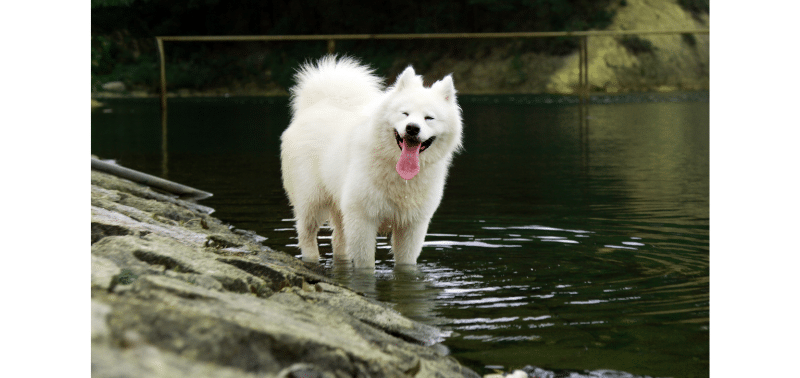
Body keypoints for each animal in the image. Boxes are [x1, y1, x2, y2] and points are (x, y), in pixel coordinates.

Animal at [280, 56, 462, 268]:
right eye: (405, 113)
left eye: (429, 118)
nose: (412, 128)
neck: (398, 174)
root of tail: (318, 104)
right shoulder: (362, 219)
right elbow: (366, 265)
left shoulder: (412, 226)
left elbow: (406, 265)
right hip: (312, 201)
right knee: (306, 234)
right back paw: (311, 260)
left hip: (340, 207)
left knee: (338, 241)